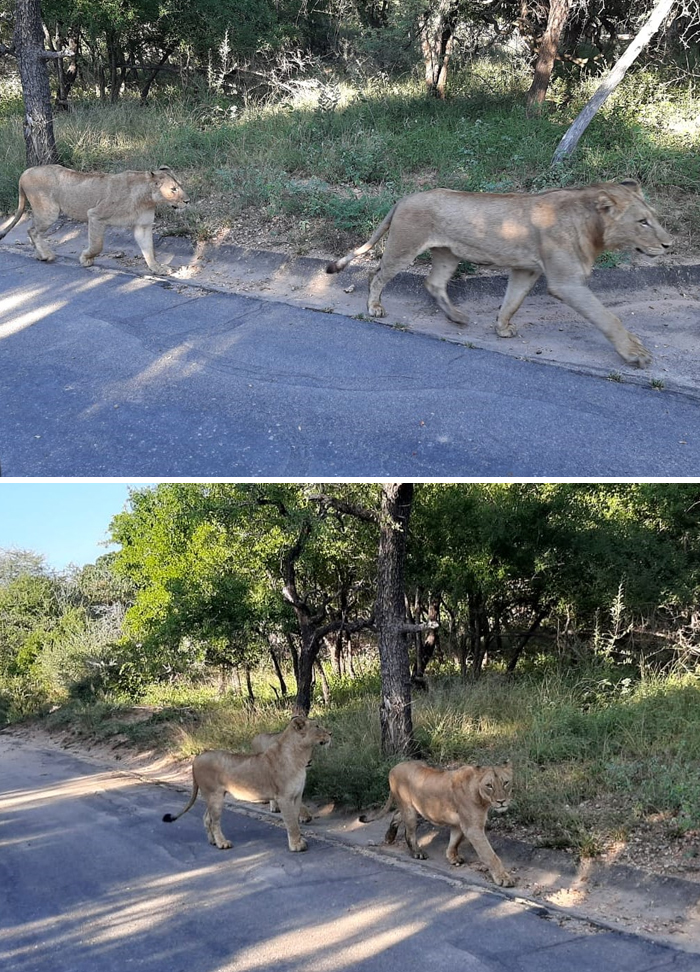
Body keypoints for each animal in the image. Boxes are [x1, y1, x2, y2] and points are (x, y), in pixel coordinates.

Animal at [0, 164, 190, 274]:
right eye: (173, 189)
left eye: (180, 186)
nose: (187, 201)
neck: (146, 199)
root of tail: (26, 171)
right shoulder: (95, 215)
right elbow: (97, 245)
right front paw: (86, 259)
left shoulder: (142, 226)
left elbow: (149, 249)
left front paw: (157, 268)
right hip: (49, 211)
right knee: (32, 230)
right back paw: (46, 255)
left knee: (31, 230)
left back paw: (39, 254)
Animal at [161, 712, 330, 852]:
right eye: (317, 726)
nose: (330, 733)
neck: (300, 756)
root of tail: (196, 759)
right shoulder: (284, 797)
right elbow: (291, 823)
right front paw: (296, 846)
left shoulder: (296, 796)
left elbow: (295, 820)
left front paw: (300, 841)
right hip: (214, 795)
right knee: (214, 821)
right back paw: (222, 843)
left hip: (213, 796)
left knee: (207, 818)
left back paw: (213, 842)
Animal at [328, 180, 672, 366]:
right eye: (642, 222)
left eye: (654, 218)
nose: (669, 244)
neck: (592, 227)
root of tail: (405, 197)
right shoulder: (567, 283)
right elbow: (608, 318)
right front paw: (635, 353)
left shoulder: (526, 269)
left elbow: (512, 301)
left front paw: (502, 329)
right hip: (405, 246)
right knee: (376, 274)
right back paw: (375, 307)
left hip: (448, 254)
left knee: (433, 282)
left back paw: (456, 316)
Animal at [360, 760, 516, 888]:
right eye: (489, 785)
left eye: (506, 783)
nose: (501, 801)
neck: (482, 798)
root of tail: (394, 767)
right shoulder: (472, 828)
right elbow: (490, 854)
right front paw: (503, 878)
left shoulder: (459, 824)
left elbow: (455, 841)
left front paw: (453, 857)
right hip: (410, 810)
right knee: (408, 832)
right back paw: (417, 852)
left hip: (414, 808)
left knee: (397, 815)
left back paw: (389, 837)